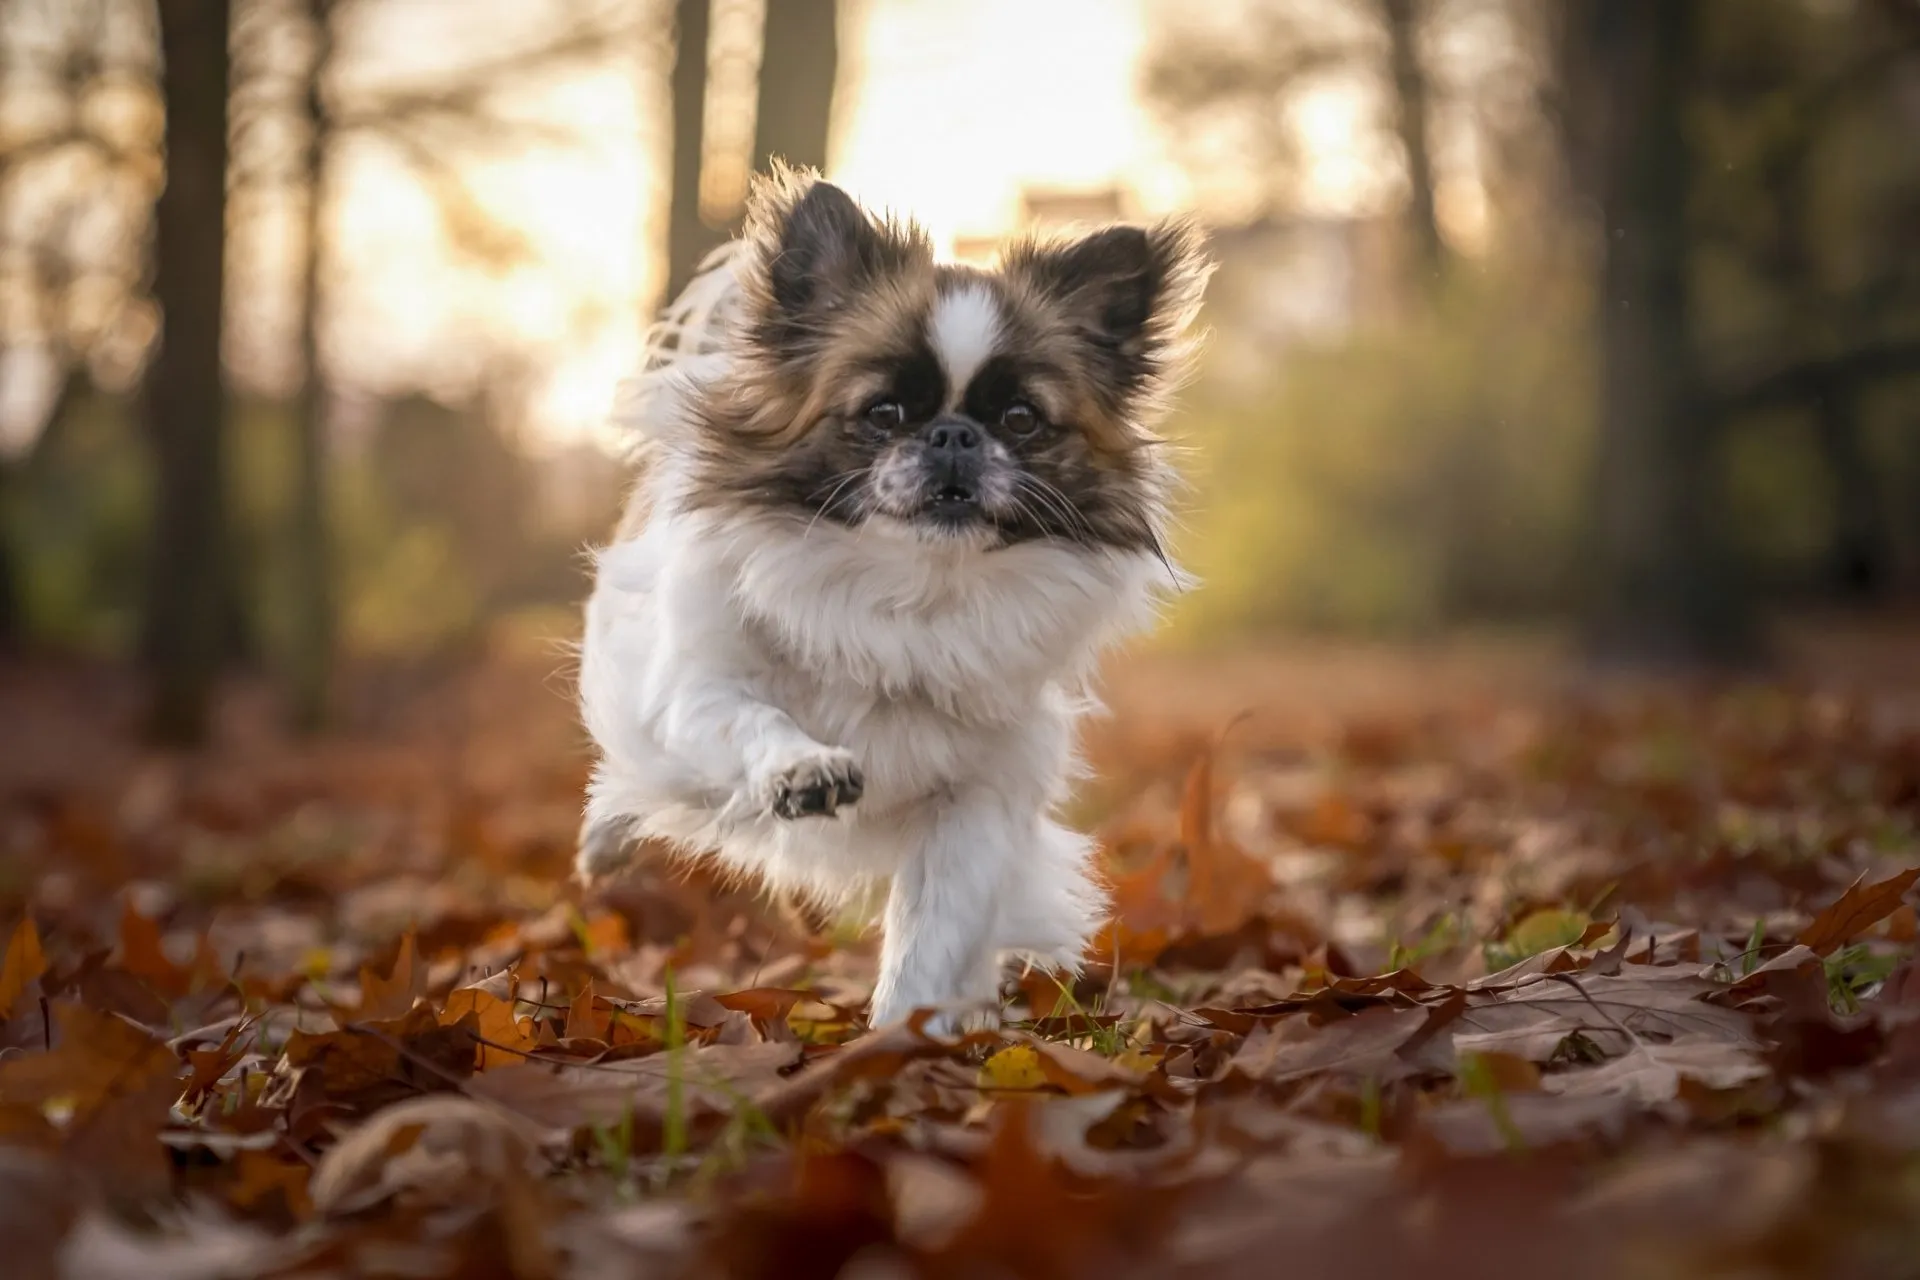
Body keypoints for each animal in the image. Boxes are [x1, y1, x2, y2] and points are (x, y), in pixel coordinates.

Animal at [572, 167, 1198, 1028]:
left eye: (1020, 419)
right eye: (884, 413)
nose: (954, 436)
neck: (904, 594)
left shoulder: (977, 799)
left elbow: (931, 932)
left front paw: (907, 1033)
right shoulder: (699, 691)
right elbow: (755, 722)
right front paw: (804, 768)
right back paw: (604, 841)